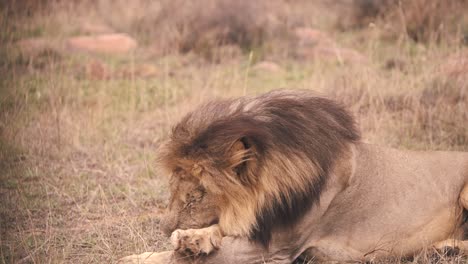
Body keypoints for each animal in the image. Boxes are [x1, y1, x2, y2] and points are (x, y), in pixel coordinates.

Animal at [119, 89, 468, 262]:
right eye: (173, 190)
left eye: (196, 195)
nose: (163, 229)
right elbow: (215, 232)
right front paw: (191, 240)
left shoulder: (273, 249)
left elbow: (172, 260)